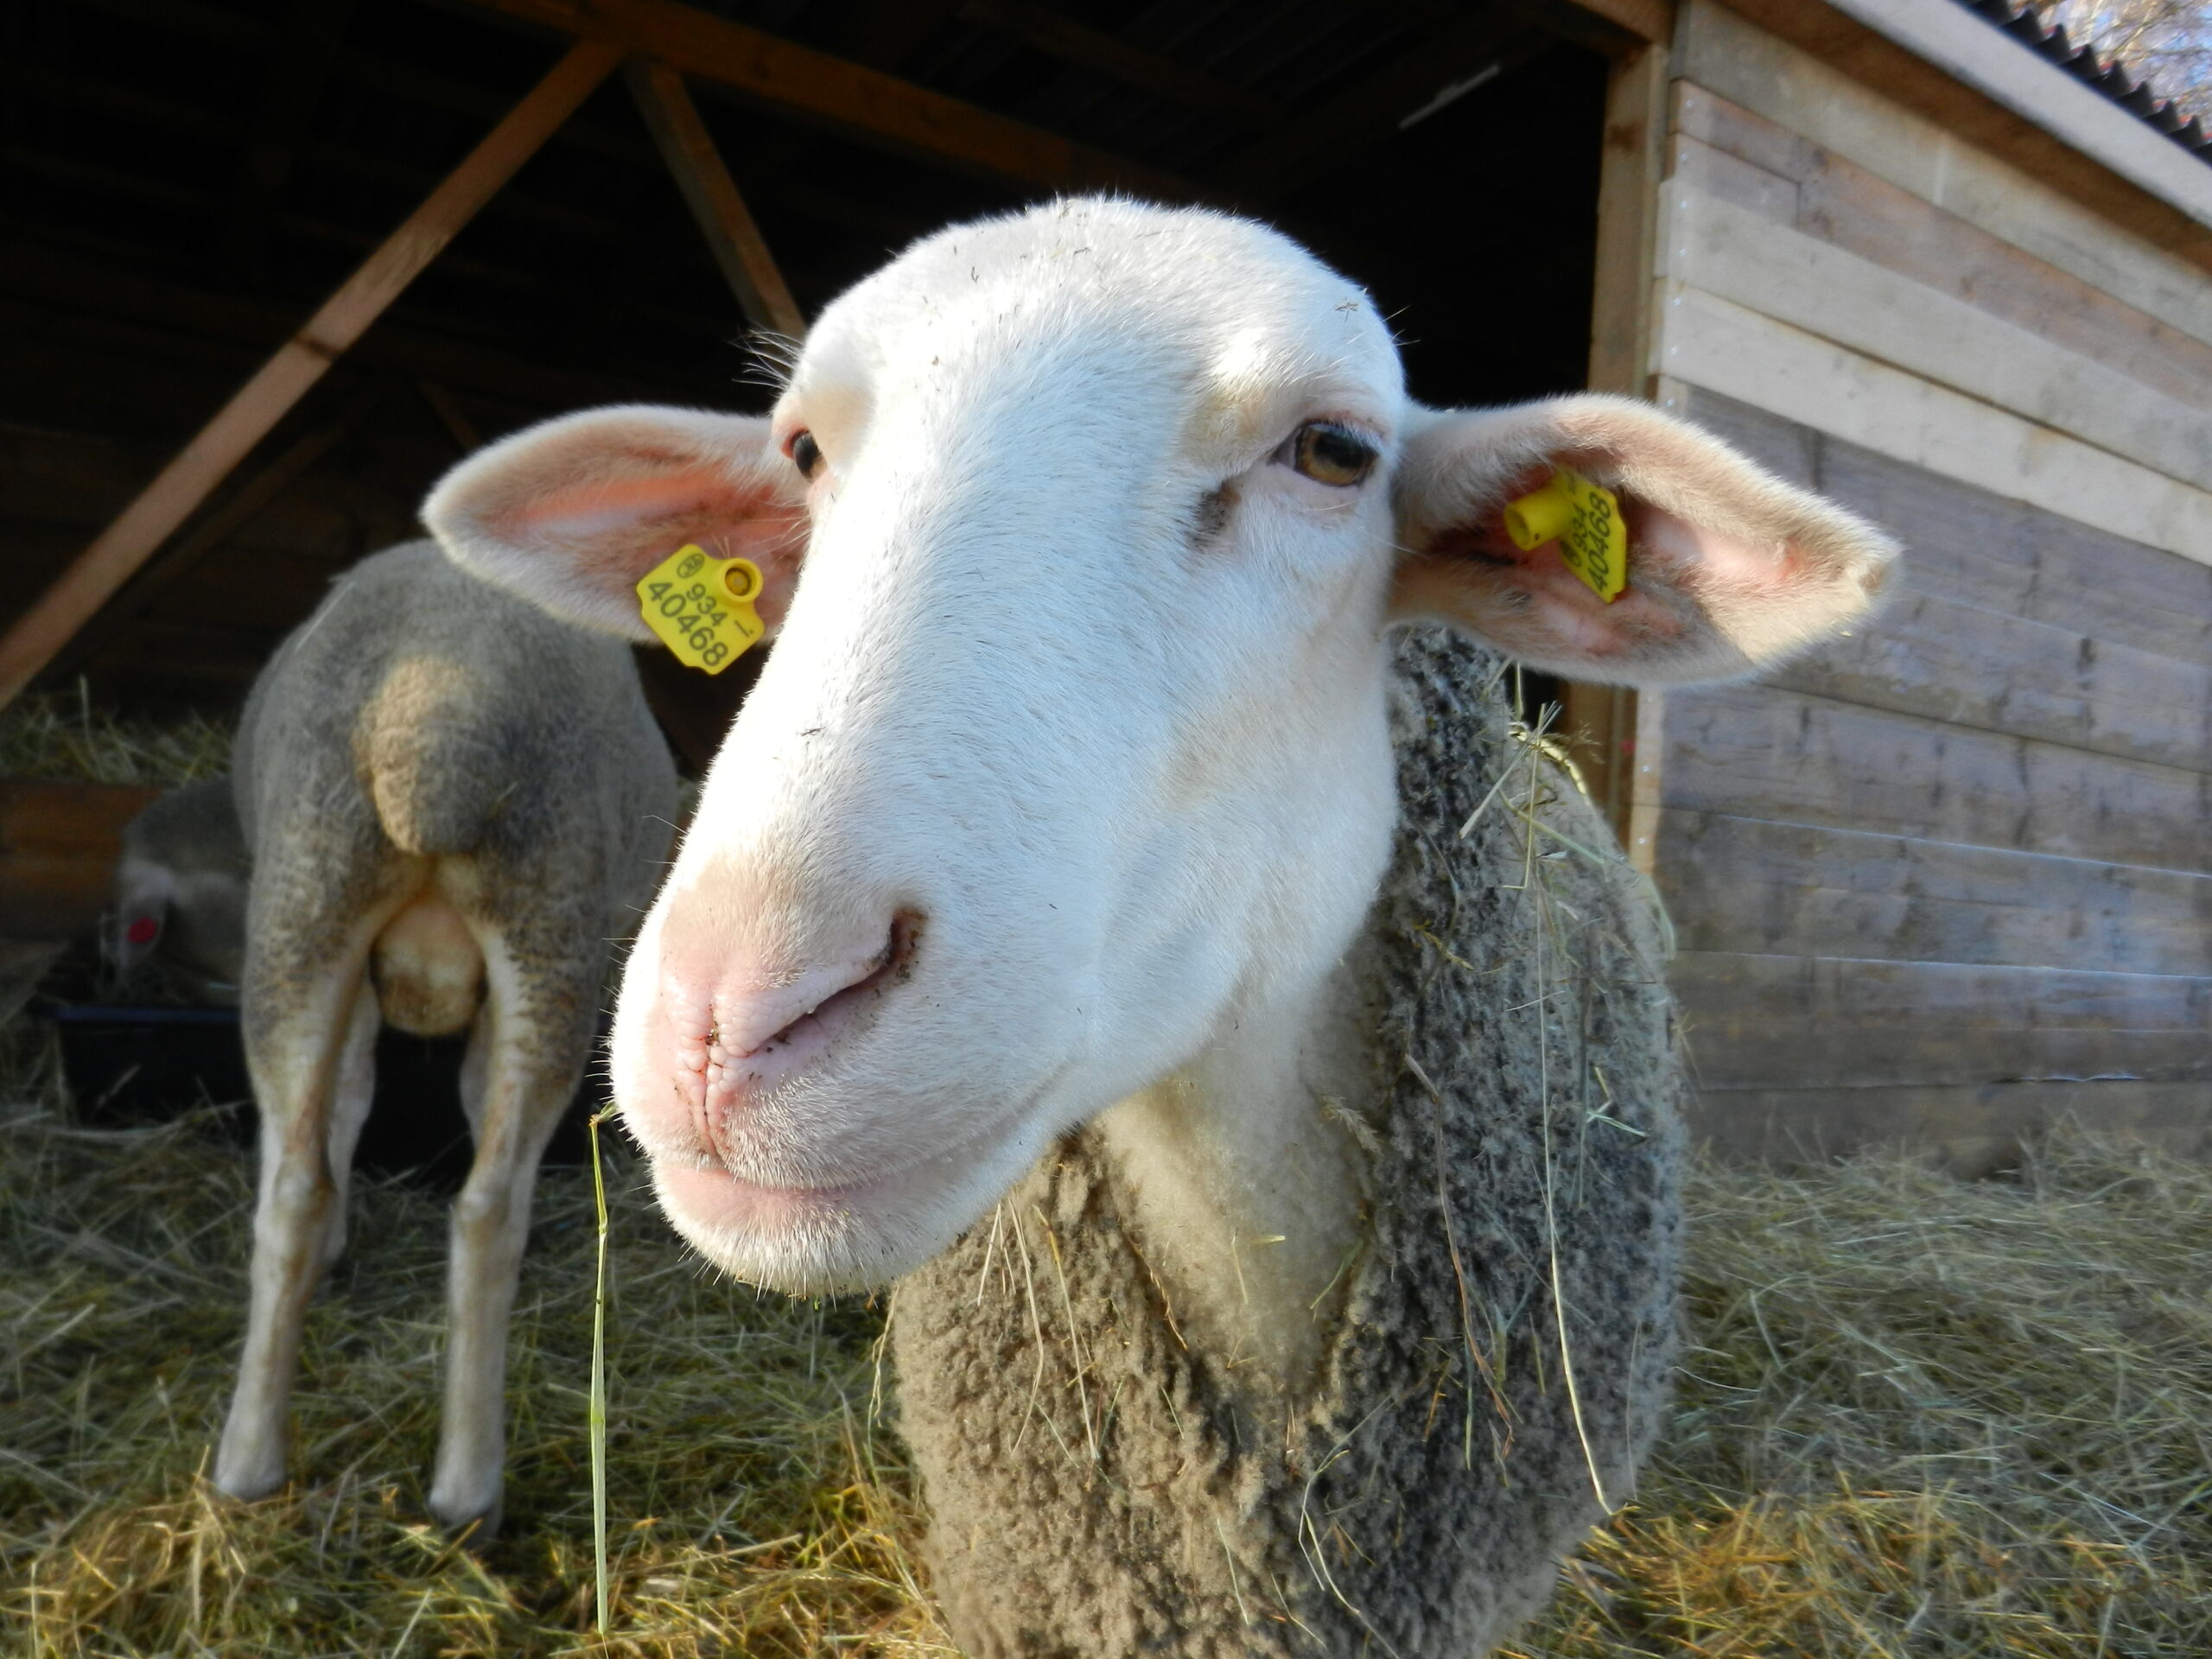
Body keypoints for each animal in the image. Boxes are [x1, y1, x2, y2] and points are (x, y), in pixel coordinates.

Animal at [211, 541, 678, 1536]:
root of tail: (438, 725)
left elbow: (343, 1107)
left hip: (318, 906)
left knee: (319, 1193)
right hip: (513, 924)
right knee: (470, 1206)